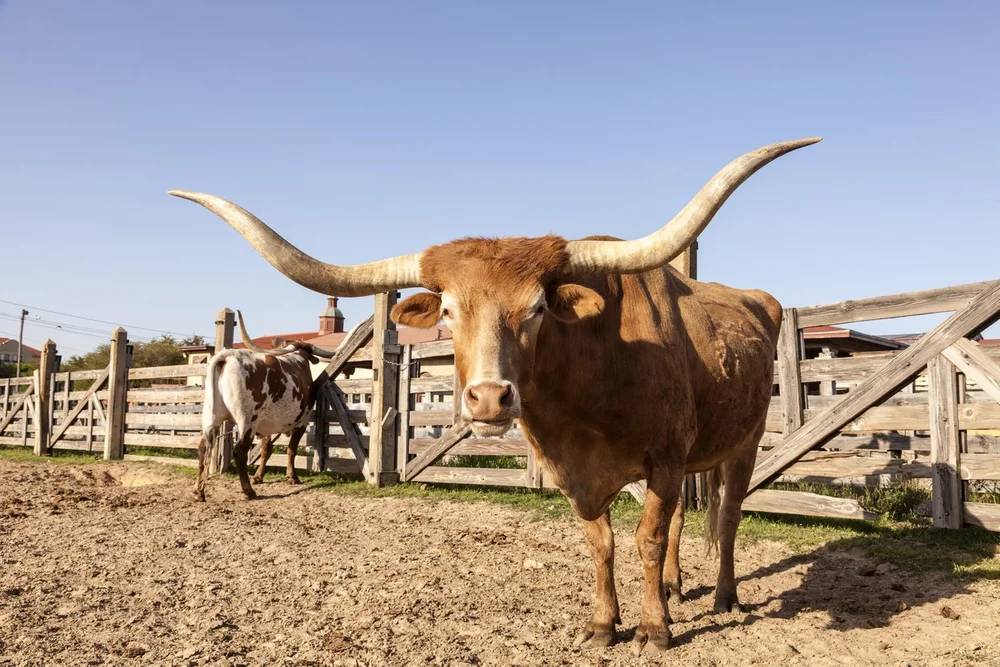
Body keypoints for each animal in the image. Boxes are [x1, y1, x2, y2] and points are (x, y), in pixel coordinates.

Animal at [195, 310, 346, 501]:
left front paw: (259, 476)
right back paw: (248, 490)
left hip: (212, 417)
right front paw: (292, 477)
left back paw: (199, 492)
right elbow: (291, 449)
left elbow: (266, 449)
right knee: (239, 451)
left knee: (204, 447)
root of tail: (227, 356)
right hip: (247, 421)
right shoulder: (302, 422)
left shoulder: (265, 425)